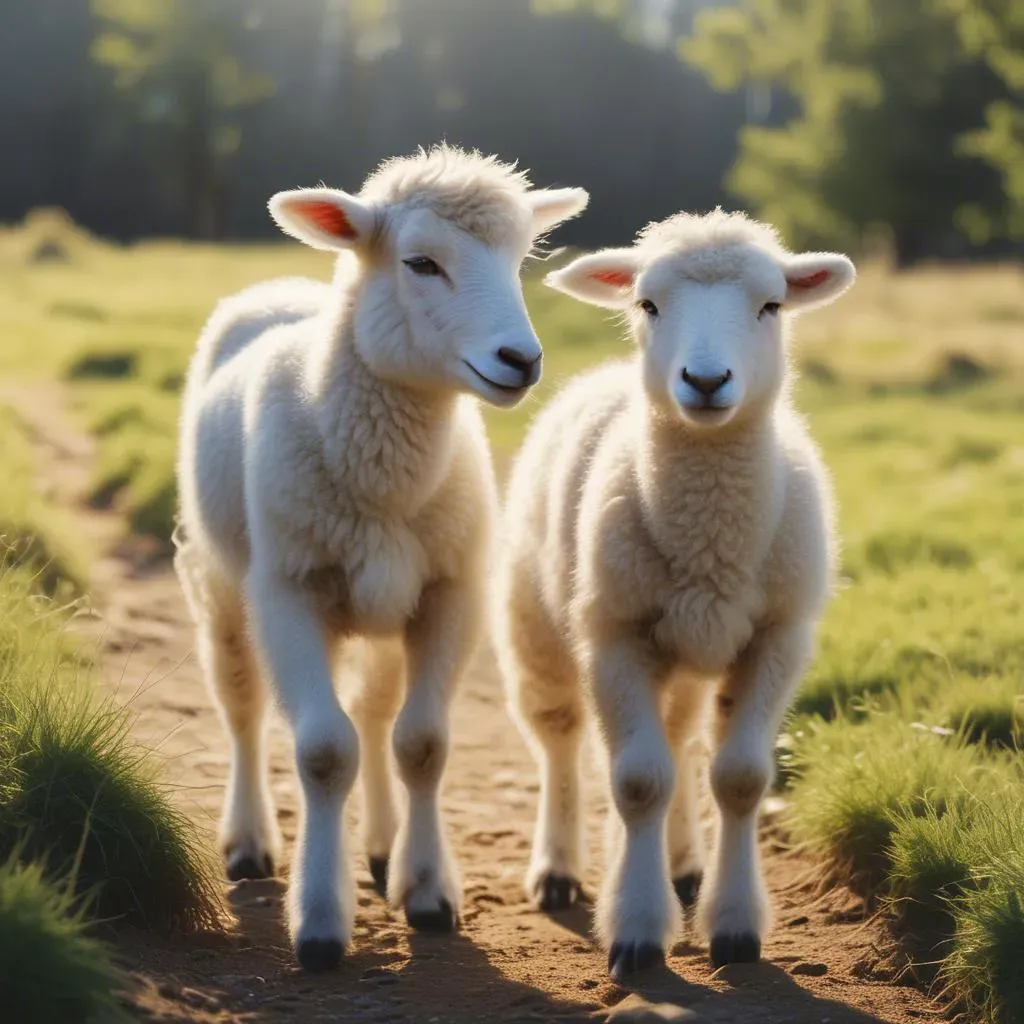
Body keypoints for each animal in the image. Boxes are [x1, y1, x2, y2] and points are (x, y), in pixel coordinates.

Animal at [173, 146, 588, 971]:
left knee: (373, 713)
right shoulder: (289, 592)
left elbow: (421, 744)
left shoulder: (448, 591)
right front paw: (320, 921)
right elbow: (323, 752)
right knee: (242, 705)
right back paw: (250, 842)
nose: (521, 360)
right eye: (421, 262)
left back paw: (380, 844)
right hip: (228, 579)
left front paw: (424, 891)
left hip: (382, 598)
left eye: (519, 259)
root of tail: (285, 286)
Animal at [493, 209, 854, 980]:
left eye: (771, 304)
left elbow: (740, 778)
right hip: (535, 624)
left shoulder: (779, 636)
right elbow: (637, 782)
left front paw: (736, 925)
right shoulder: (614, 635)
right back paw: (559, 868)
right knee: (559, 738)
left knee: (683, 740)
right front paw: (635, 927)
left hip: (690, 649)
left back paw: (686, 863)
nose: (706, 379)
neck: (709, 537)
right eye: (648, 304)